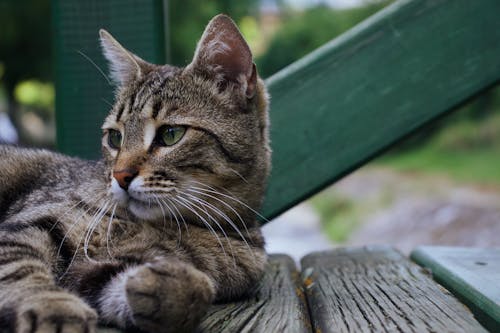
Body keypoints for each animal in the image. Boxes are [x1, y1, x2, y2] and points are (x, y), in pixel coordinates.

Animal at [0, 13, 270, 332]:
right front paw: (53, 308)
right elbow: (22, 269)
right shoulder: (32, 222)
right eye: (115, 138)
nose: (119, 176)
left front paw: (170, 286)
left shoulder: (90, 268)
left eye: (170, 134)